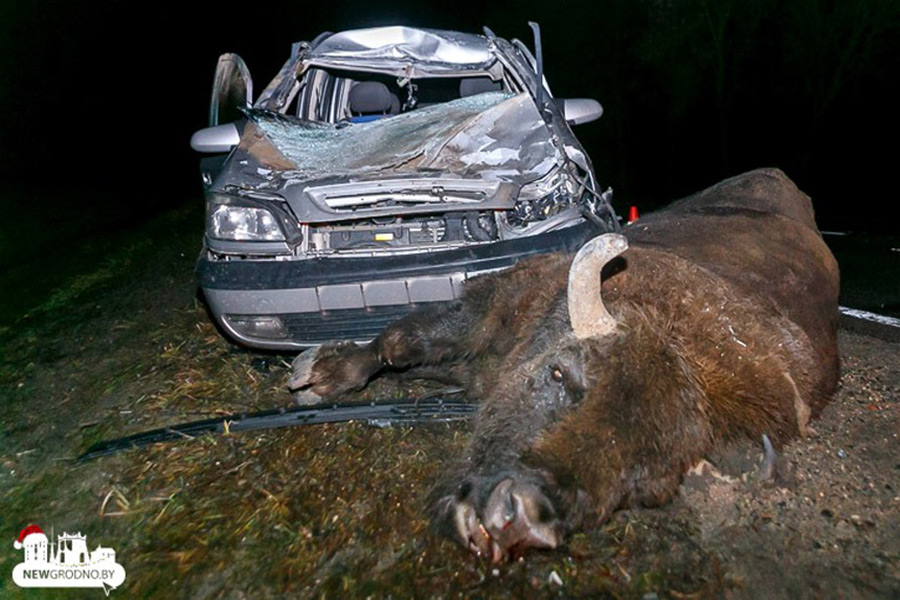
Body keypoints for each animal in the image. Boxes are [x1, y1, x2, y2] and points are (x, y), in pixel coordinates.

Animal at [290, 169, 844, 564]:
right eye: (559, 373)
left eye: (641, 484)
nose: (519, 520)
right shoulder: (490, 307)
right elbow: (407, 342)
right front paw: (319, 375)